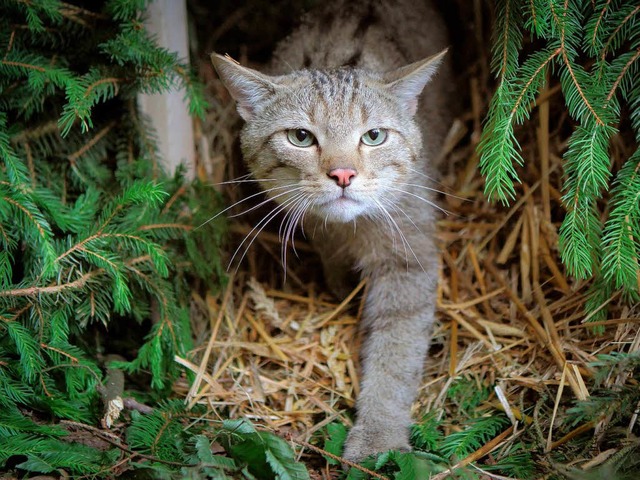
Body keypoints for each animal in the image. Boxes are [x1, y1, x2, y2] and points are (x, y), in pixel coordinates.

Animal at [214, 0, 456, 464]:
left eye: (374, 136)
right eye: (300, 137)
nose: (342, 174)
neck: (350, 229)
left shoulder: (409, 259)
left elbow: (395, 353)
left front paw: (379, 435)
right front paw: (338, 279)